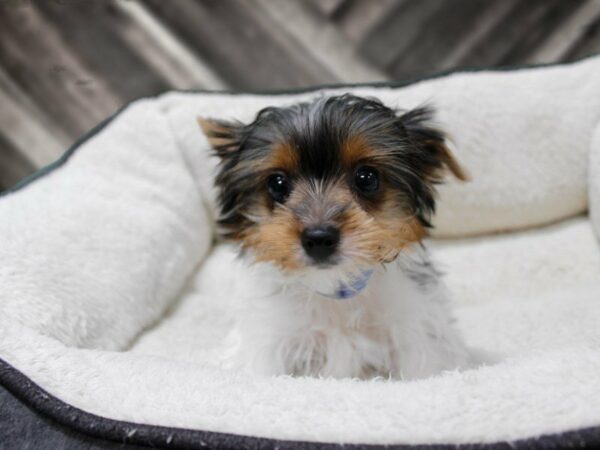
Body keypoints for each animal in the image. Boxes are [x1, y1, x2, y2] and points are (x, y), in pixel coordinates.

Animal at [199, 94, 476, 380]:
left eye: (366, 178)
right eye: (277, 184)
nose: (319, 238)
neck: (335, 285)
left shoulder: (416, 331)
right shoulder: (271, 339)